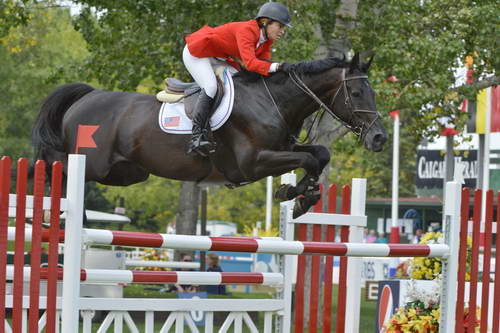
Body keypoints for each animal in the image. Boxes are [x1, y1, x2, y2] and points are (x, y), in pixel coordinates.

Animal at [33, 53, 388, 217]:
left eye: (372, 92)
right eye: (357, 93)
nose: (380, 138)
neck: (272, 101)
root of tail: (88, 95)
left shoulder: (281, 150)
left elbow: (319, 155)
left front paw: (302, 196)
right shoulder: (252, 163)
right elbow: (308, 159)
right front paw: (294, 196)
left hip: (128, 173)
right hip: (92, 162)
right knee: (54, 164)